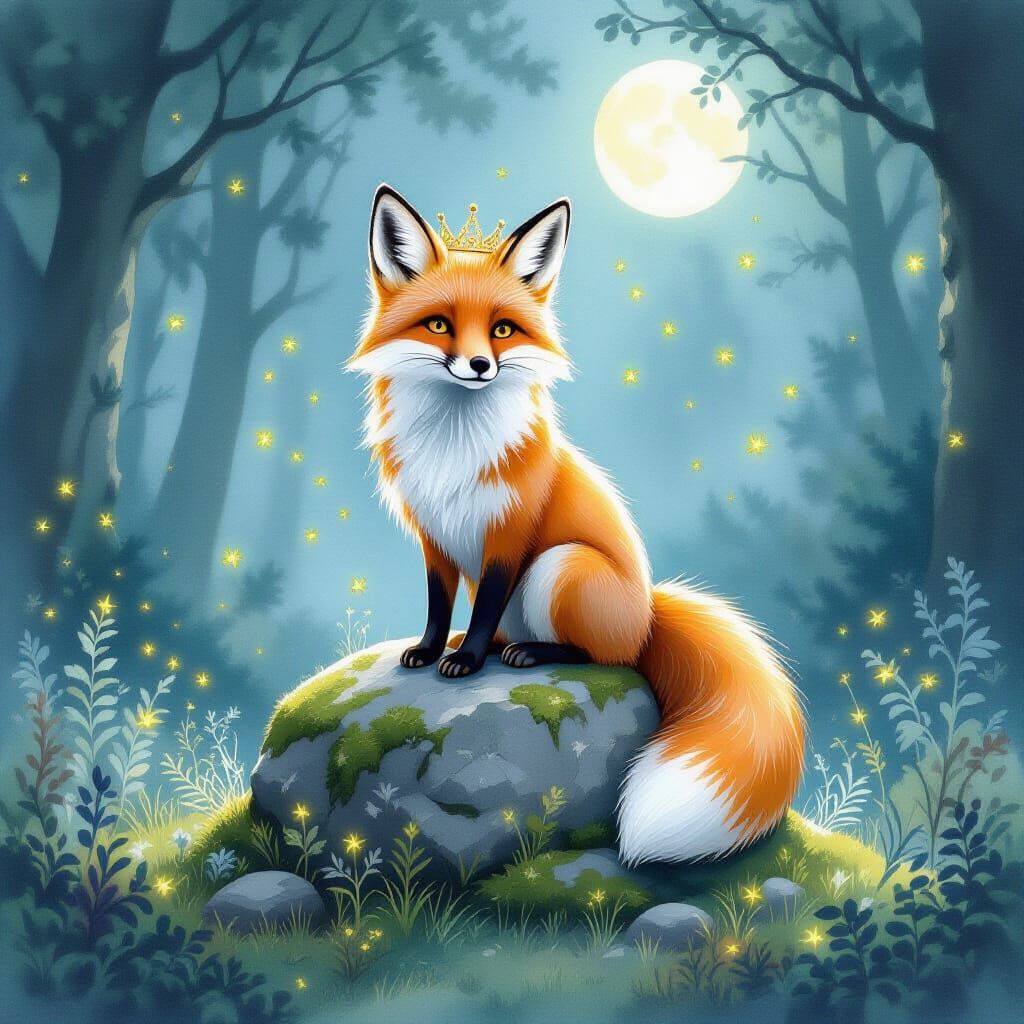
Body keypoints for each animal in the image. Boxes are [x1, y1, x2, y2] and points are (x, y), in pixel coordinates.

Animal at [348, 184, 805, 865]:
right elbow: (438, 603)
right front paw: (431, 649)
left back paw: (528, 653)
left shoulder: (509, 535)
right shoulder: (434, 535)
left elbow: (483, 605)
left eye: (502, 330)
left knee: (605, 658)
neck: (453, 444)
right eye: (439, 324)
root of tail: (647, 614)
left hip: (560, 565)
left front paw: (467, 660)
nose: (480, 365)